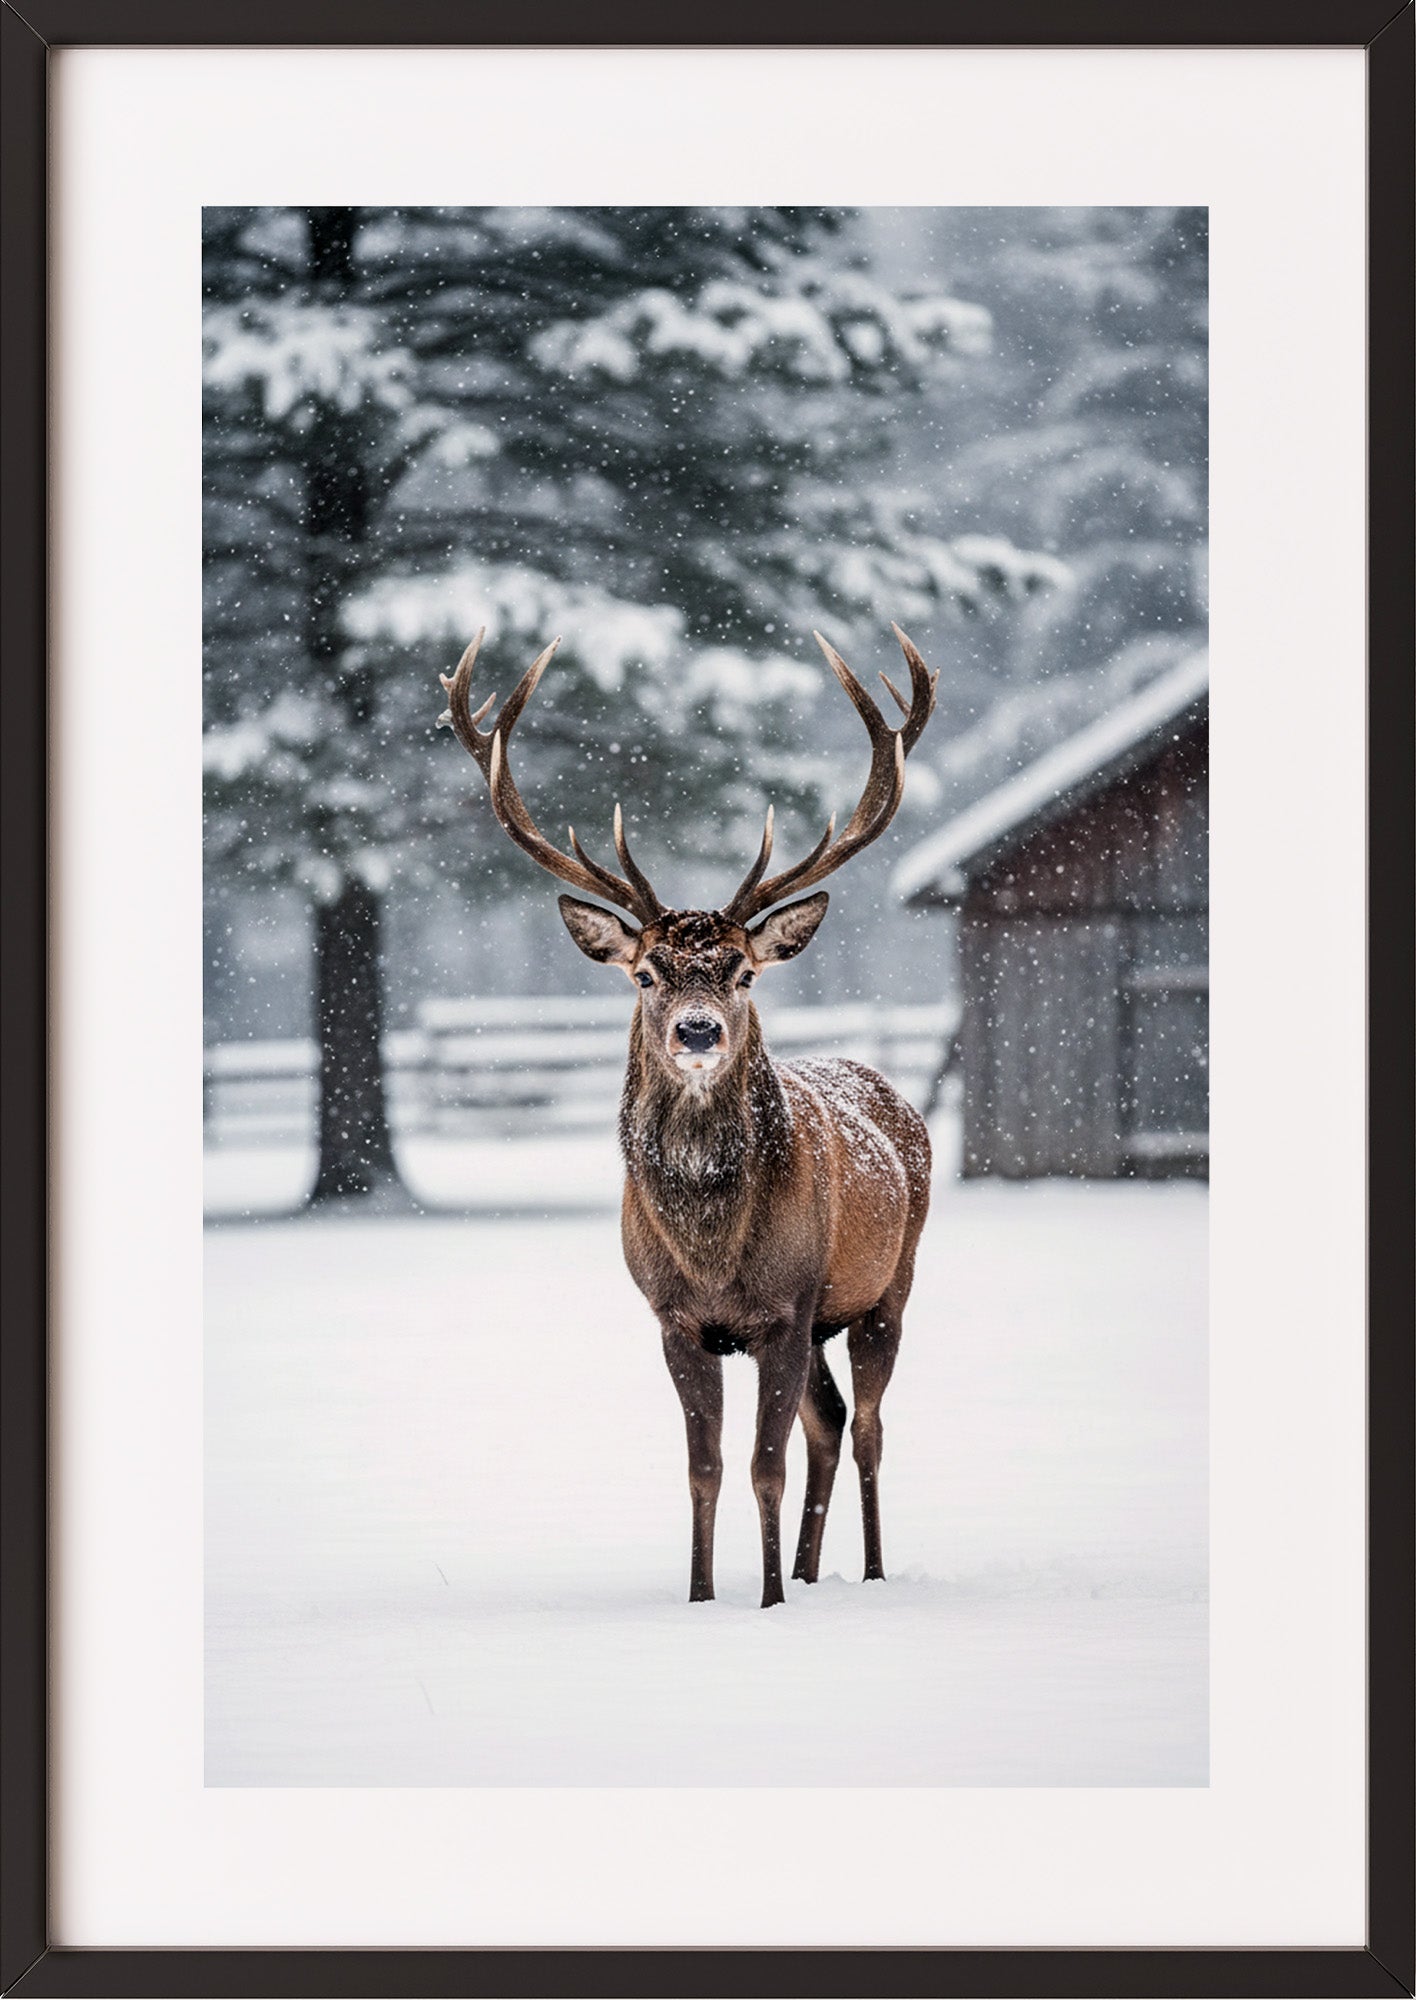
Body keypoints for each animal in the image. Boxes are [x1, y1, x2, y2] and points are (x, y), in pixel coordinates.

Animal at [438, 624, 938, 1608]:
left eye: (742, 971)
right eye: (645, 973)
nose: (698, 1029)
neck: (712, 1249)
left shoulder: (785, 1305)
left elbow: (762, 1466)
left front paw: (769, 1602)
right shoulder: (675, 1318)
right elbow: (705, 1468)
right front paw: (707, 1598)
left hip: (887, 1283)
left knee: (866, 1425)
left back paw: (864, 1573)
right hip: (823, 1319)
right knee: (829, 1422)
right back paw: (814, 1572)